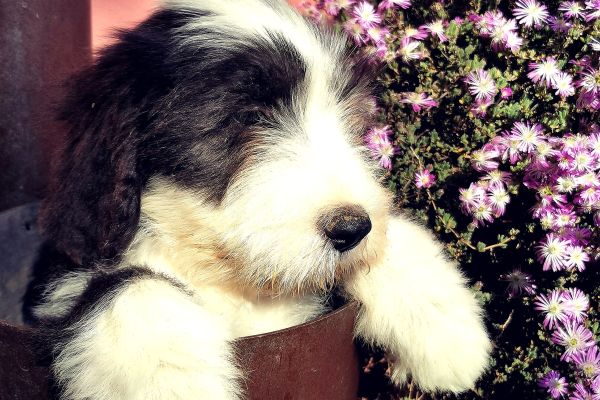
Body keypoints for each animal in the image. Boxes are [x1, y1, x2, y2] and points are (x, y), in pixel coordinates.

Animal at [23, 1, 492, 398]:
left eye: (349, 121)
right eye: (245, 118)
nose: (352, 227)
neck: (233, 283)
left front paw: (448, 330)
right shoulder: (64, 282)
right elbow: (129, 282)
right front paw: (171, 381)